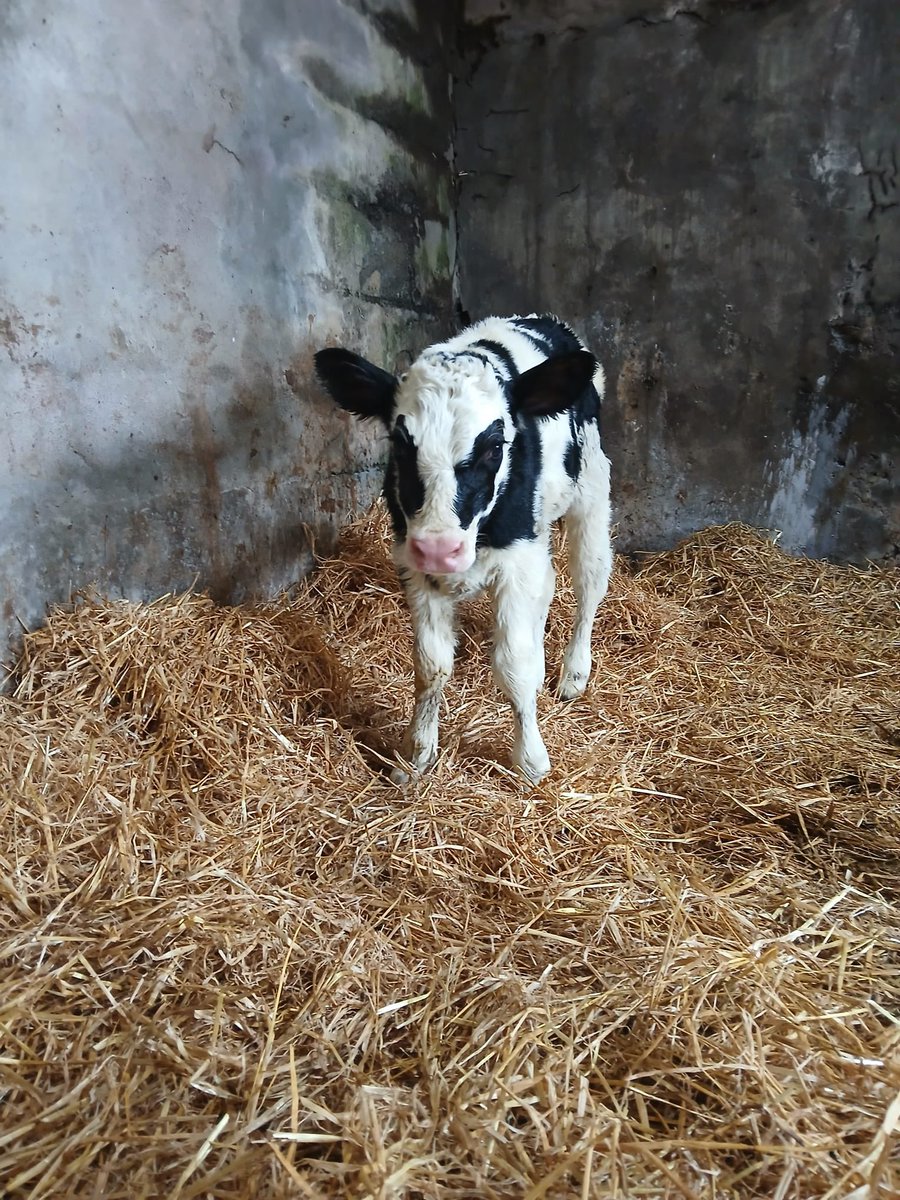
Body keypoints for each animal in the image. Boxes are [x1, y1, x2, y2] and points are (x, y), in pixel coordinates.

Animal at [314, 314, 612, 783]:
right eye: (400, 444)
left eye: (494, 447)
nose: (440, 548)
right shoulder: (416, 567)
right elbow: (430, 667)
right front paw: (415, 756)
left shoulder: (516, 559)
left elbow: (514, 666)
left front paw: (530, 760)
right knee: (547, 585)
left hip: (592, 489)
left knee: (589, 584)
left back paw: (573, 674)